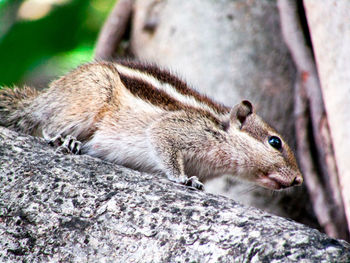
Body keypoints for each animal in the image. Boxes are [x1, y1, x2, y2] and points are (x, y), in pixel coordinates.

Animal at [0, 60, 302, 191]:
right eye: (275, 142)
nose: (299, 180)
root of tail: (44, 97)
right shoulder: (181, 129)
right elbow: (162, 140)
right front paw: (183, 179)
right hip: (89, 98)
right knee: (50, 124)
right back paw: (65, 139)